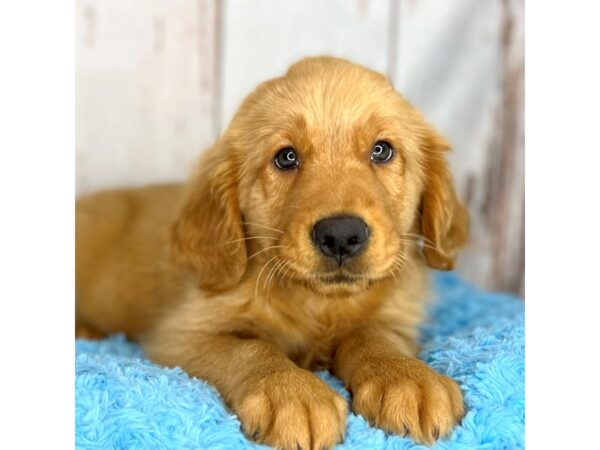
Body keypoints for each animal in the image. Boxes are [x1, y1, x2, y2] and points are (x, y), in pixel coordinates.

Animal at [75, 57, 468, 450]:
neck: (318, 302)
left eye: (381, 150)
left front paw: (407, 378)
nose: (341, 235)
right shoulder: (180, 335)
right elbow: (249, 348)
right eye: (286, 157)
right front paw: (292, 394)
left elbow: (375, 336)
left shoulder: (396, 319)